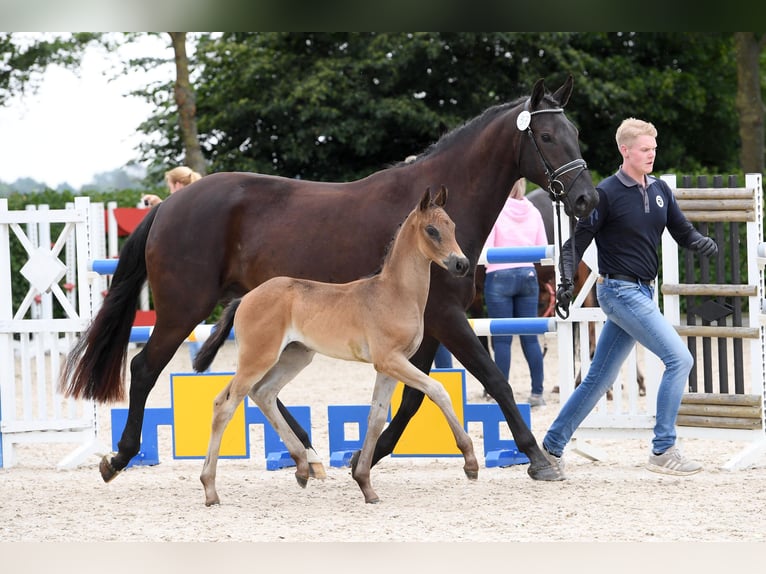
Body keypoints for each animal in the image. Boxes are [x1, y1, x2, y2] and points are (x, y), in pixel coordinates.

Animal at [194, 187, 480, 506]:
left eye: (452, 226)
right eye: (432, 230)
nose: (461, 264)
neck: (395, 294)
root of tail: (245, 298)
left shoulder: (390, 367)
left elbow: (376, 416)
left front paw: (365, 484)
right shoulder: (390, 360)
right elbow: (438, 390)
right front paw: (470, 462)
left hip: (294, 357)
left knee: (263, 394)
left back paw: (302, 468)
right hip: (257, 358)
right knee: (225, 405)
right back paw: (210, 489)